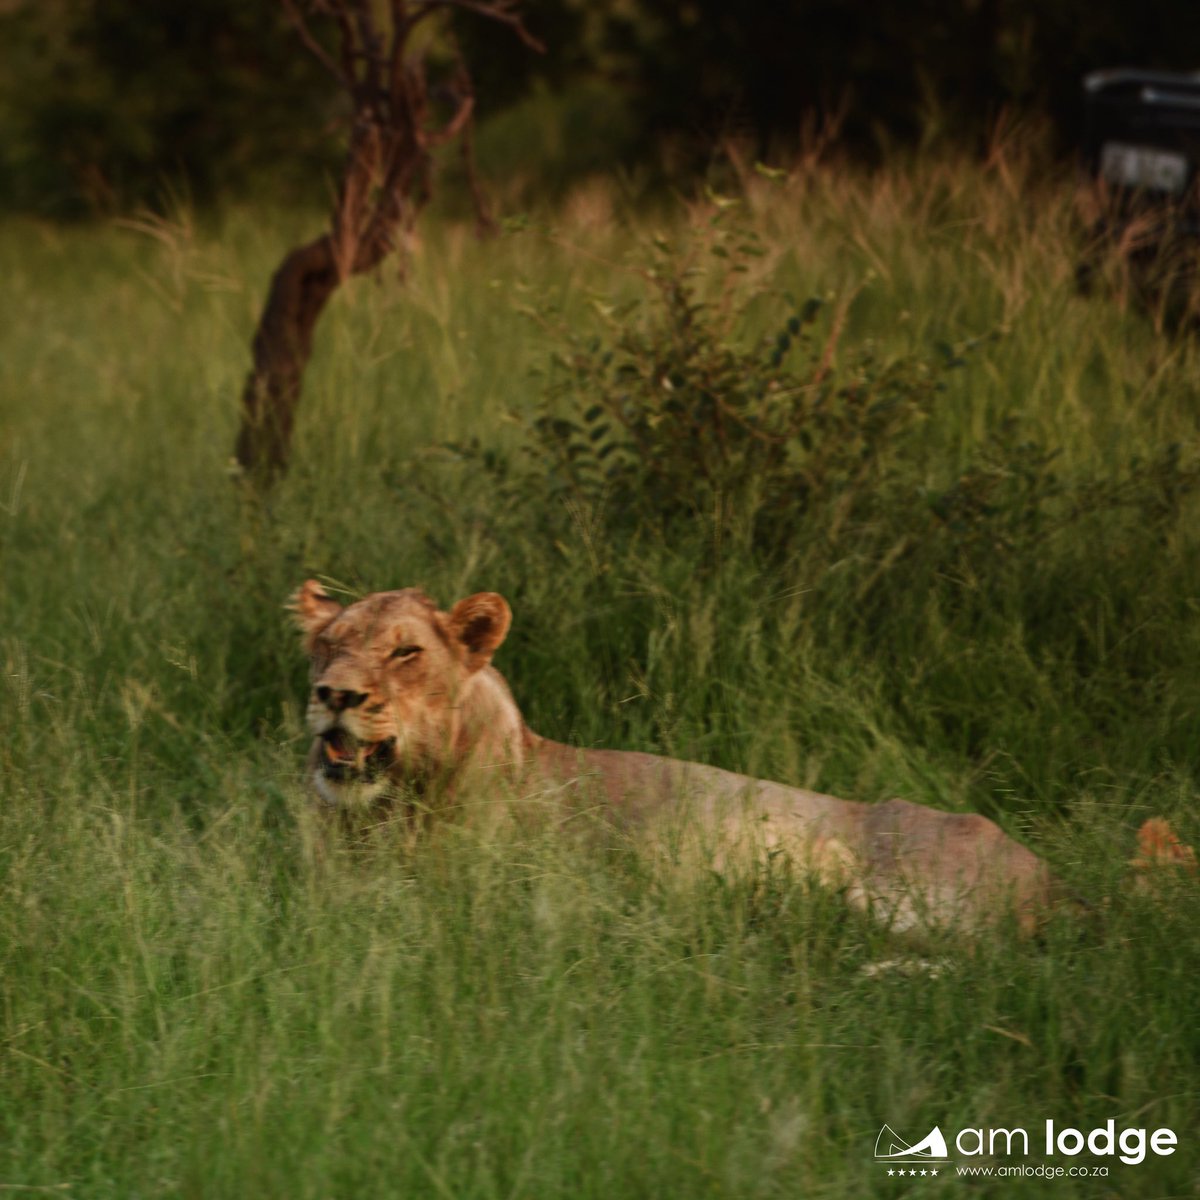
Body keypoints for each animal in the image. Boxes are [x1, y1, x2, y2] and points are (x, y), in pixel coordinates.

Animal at [290, 580, 1195, 934]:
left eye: (406, 653)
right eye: (328, 644)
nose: (334, 694)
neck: (386, 818)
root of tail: (1061, 885)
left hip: (902, 887)